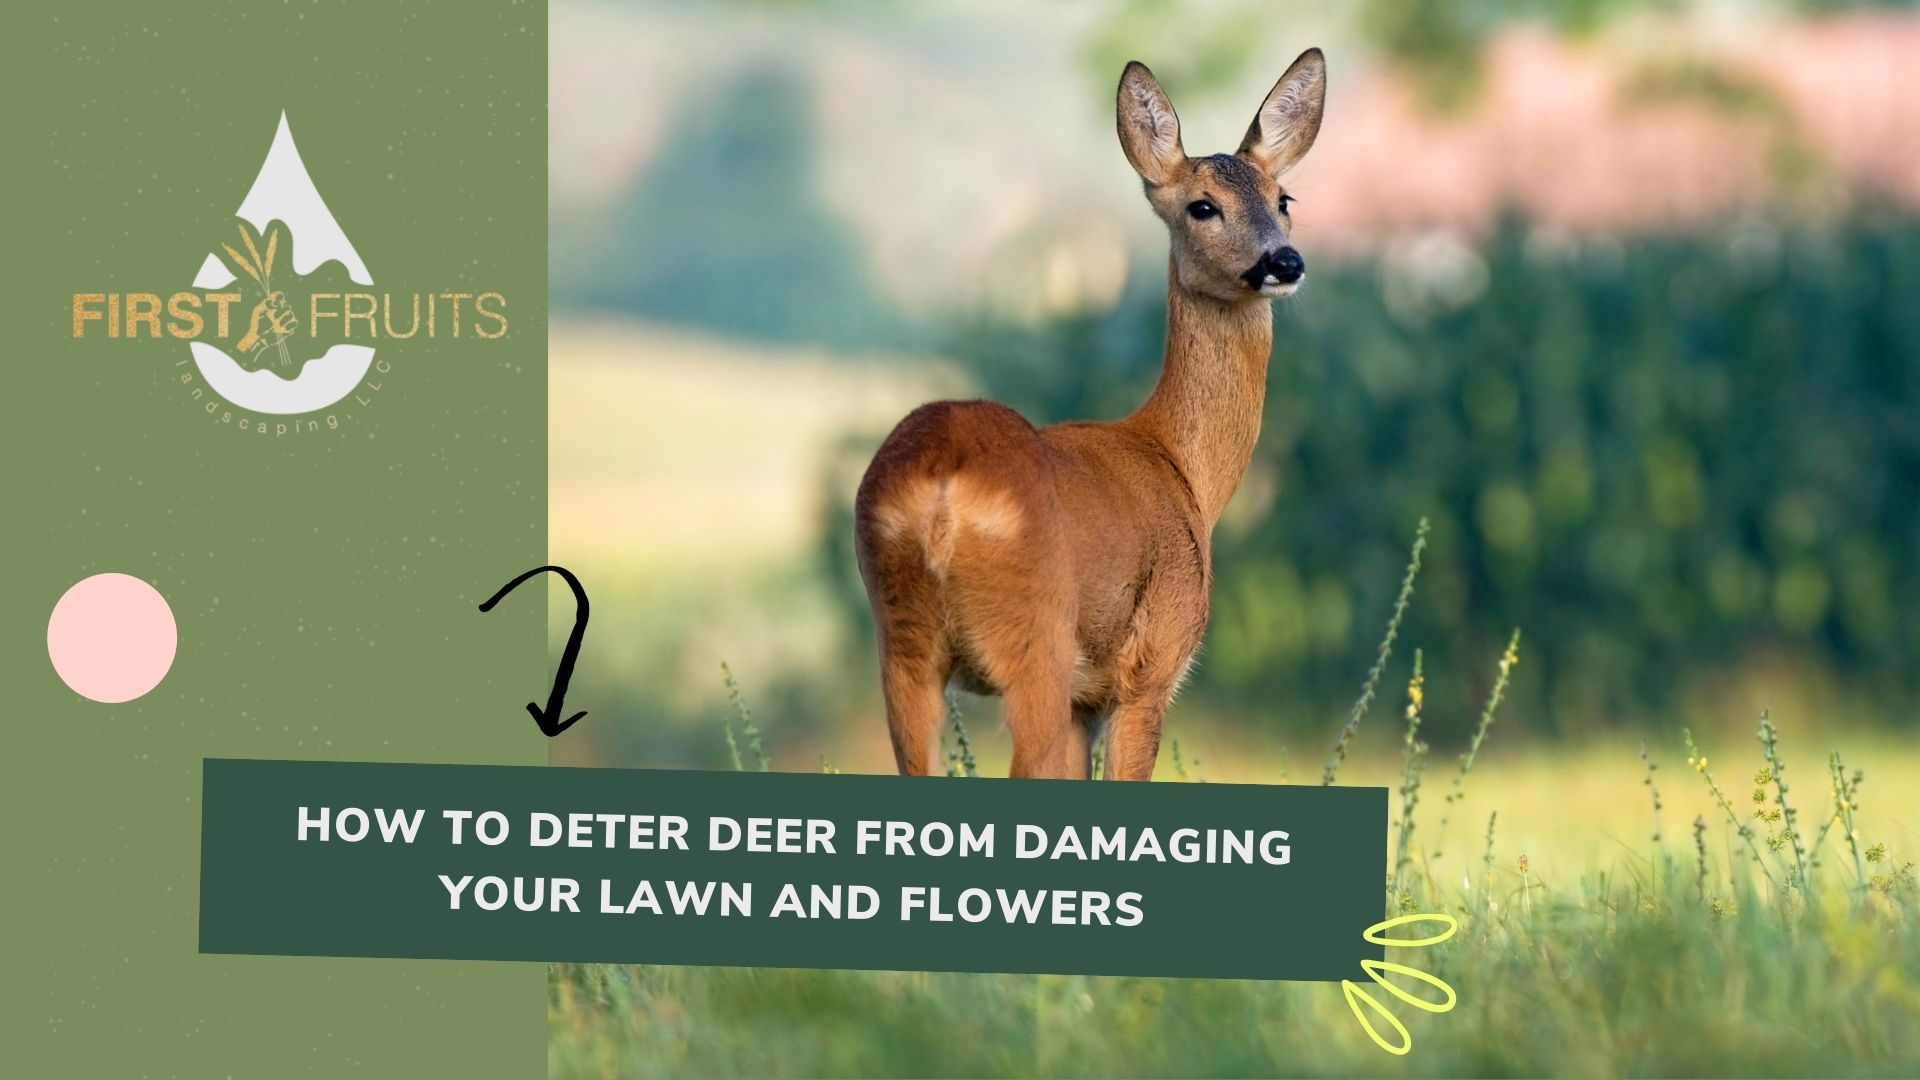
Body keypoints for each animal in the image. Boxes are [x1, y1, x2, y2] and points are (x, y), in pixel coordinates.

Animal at [853, 49, 1328, 781]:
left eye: (1284, 199)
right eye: (1202, 206)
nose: (1284, 260)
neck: (1183, 468)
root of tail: (940, 489)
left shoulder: (1085, 702)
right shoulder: (1149, 668)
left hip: (901, 645)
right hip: (1035, 643)